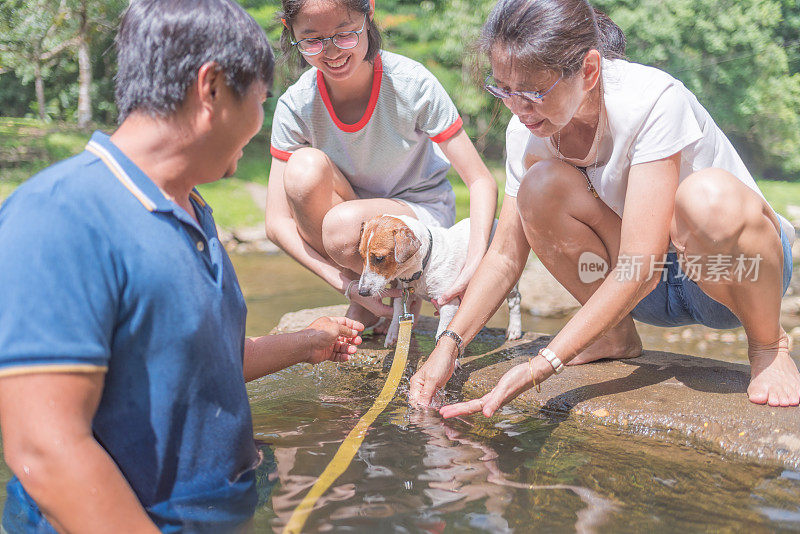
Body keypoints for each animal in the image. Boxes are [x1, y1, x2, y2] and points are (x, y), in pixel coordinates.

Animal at [358, 216, 524, 350]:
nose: (361, 292)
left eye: (379, 258)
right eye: (361, 255)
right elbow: (397, 315)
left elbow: (442, 331)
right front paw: (392, 336)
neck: (424, 264)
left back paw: (514, 329)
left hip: (505, 276)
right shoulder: (403, 295)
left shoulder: (448, 302)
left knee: (515, 300)